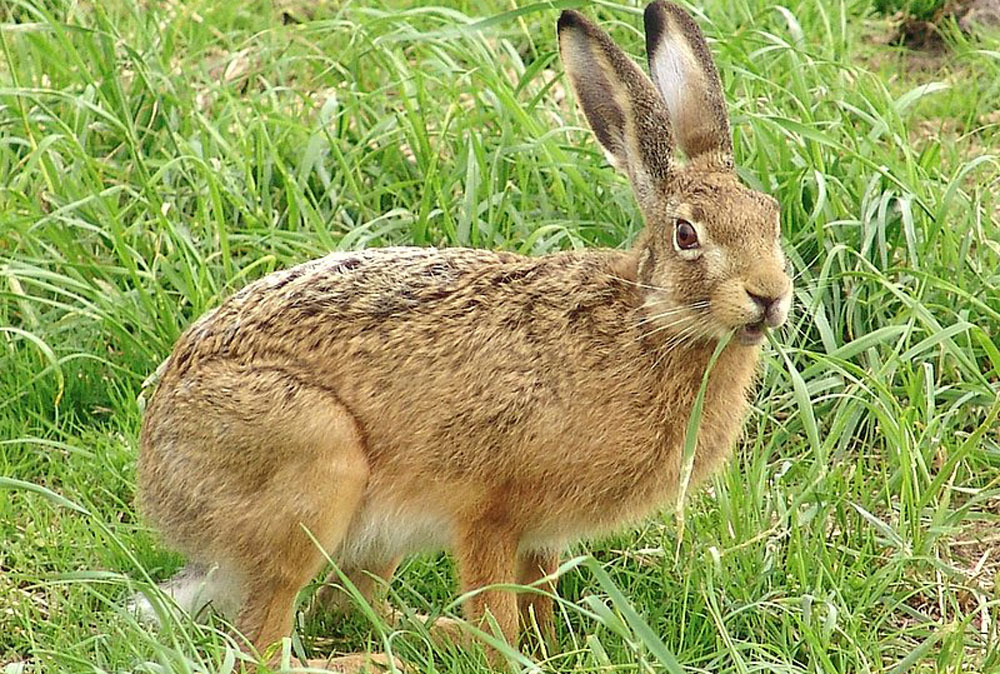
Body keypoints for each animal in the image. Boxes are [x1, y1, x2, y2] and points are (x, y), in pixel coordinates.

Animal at [134, 1, 792, 669]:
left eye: (771, 218)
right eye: (687, 235)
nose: (769, 296)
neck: (648, 319)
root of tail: (158, 478)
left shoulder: (543, 536)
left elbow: (539, 599)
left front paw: (548, 651)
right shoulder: (487, 513)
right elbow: (498, 612)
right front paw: (507, 658)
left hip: (371, 533)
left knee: (339, 607)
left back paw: (416, 637)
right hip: (315, 464)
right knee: (262, 645)